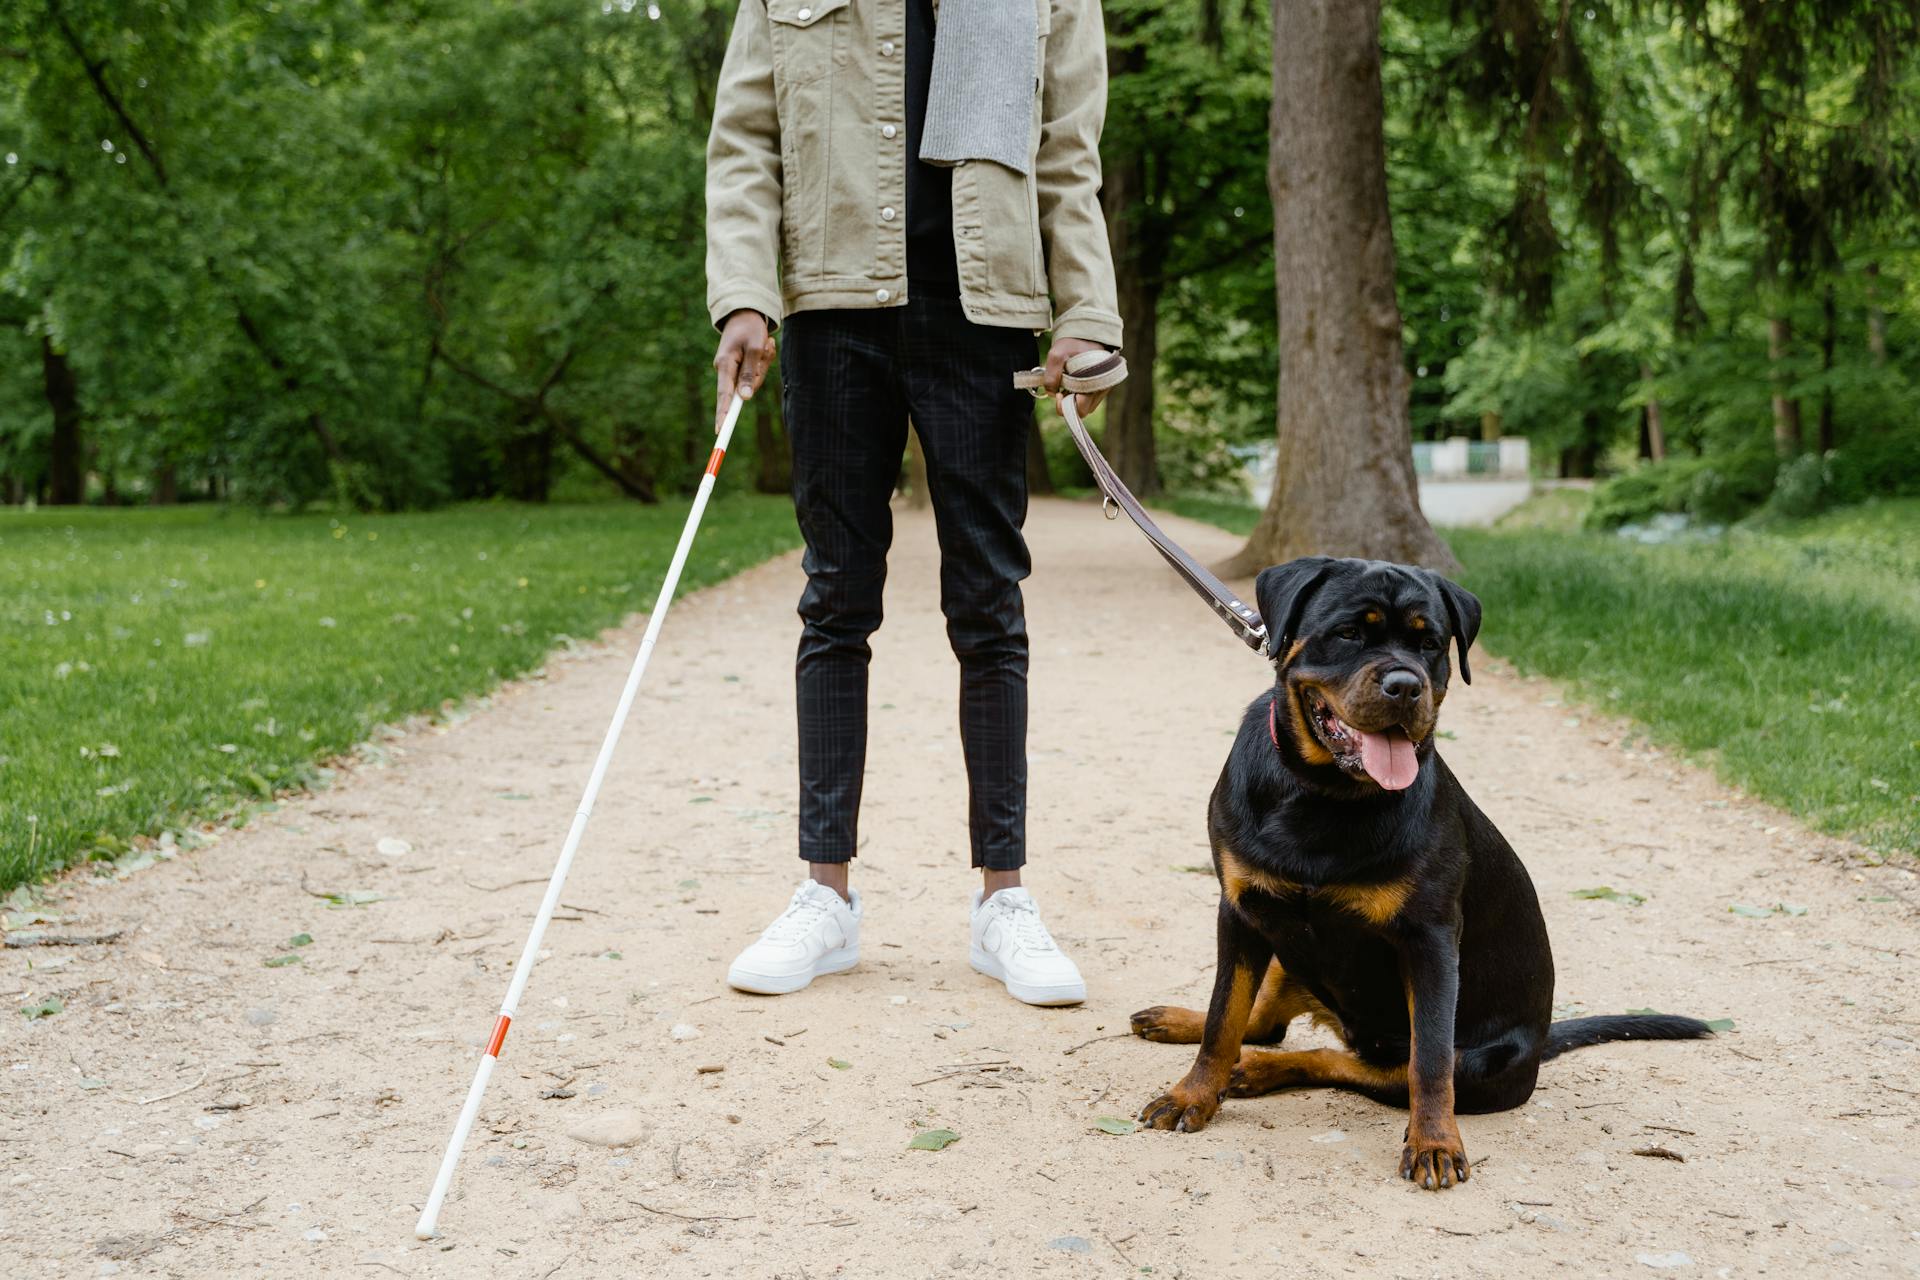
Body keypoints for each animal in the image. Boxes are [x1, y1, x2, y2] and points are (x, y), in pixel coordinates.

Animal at [1121, 560, 1712, 1189]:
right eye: (1349, 633)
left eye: (1431, 644)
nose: (1405, 685)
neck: (1324, 795)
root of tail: (1541, 1044)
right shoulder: (1242, 910)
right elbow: (1222, 1017)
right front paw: (1192, 1094)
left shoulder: (1428, 941)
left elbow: (1428, 1062)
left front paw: (1434, 1143)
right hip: (1284, 949)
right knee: (1262, 1025)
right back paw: (1182, 1026)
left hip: (1476, 1062)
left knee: (1356, 1062)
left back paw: (1258, 1070)